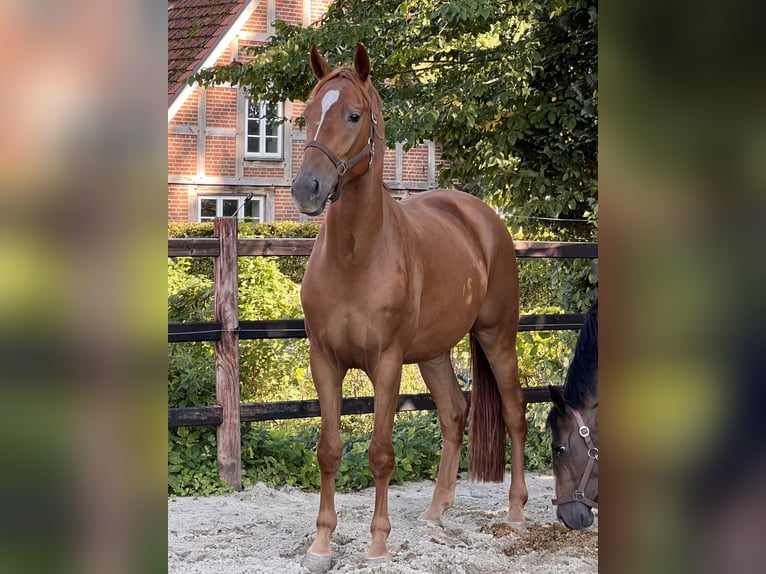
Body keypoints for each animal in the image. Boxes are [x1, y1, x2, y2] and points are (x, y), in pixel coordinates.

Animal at [292, 44, 532, 572]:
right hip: (434, 353)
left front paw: (378, 543)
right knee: (455, 413)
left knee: (514, 412)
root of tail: (482, 217)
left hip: (497, 336)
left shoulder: (386, 364)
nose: (306, 189)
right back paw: (435, 512)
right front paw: (321, 543)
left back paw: (516, 511)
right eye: (307, 114)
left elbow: (381, 452)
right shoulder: (324, 360)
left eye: (353, 115)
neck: (356, 256)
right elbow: (329, 450)